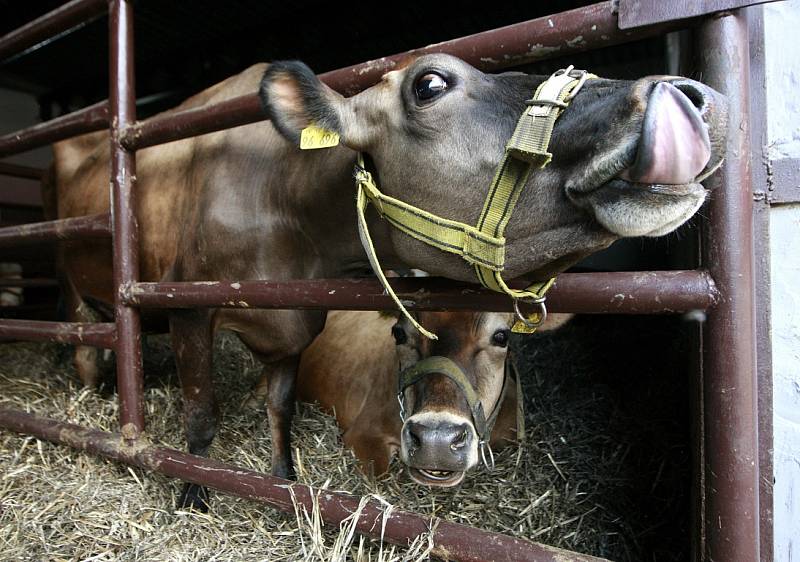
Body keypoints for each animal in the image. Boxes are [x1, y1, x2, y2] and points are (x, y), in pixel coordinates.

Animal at [50, 52, 724, 508]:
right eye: (430, 83)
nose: (688, 94)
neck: (284, 202)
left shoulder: (297, 324)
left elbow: (279, 407)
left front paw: (281, 477)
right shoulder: (187, 303)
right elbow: (200, 415)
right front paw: (195, 494)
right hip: (74, 285)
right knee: (83, 339)